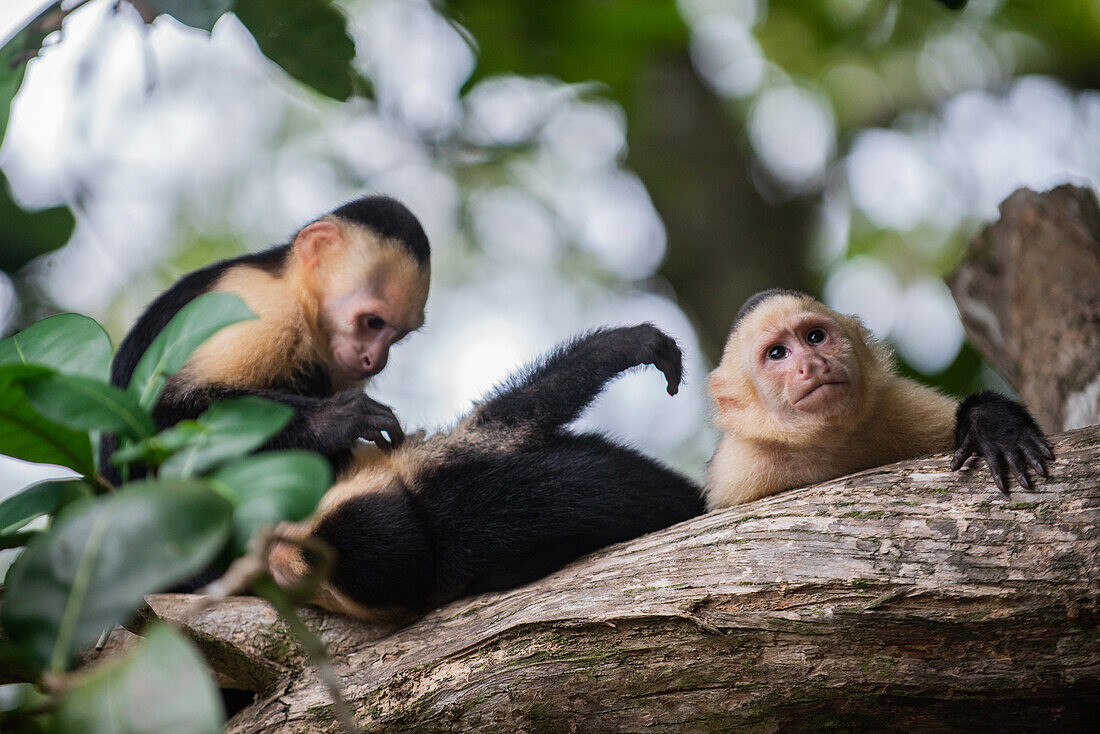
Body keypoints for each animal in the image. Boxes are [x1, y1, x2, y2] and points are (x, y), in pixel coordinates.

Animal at [101, 194, 429, 481]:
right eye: (373, 322)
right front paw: (333, 419)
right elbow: (153, 421)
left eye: (397, 336)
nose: (375, 361)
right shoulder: (264, 307)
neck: (295, 291)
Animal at [699, 290, 1051, 508]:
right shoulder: (741, 471)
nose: (812, 364)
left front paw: (992, 425)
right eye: (776, 354)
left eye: (815, 337)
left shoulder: (898, 407)